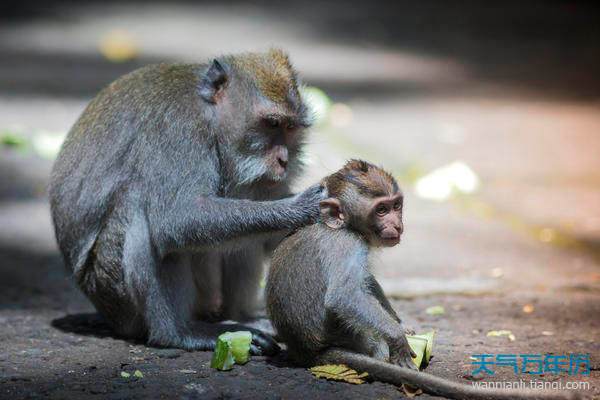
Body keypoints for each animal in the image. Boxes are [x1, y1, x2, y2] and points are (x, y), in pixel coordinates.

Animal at [50, 48, 324, 354]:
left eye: (290, 128)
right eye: (272, 123)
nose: (284, 160)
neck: (209, 114)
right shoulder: (179, 130)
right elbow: (176, 218)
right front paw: (300, 207)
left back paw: (240, 318)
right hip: (114, 294)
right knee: (142, 211)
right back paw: (179, 334)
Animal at [268, 160, 576, 400]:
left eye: (396, 205)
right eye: (381, 210)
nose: (396, 224)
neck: (344, 226)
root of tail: (307, 351)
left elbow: (366, 281)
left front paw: (400, 323)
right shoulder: (346, 244)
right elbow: (344, 295)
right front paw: (397, 338)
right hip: (352, 336)